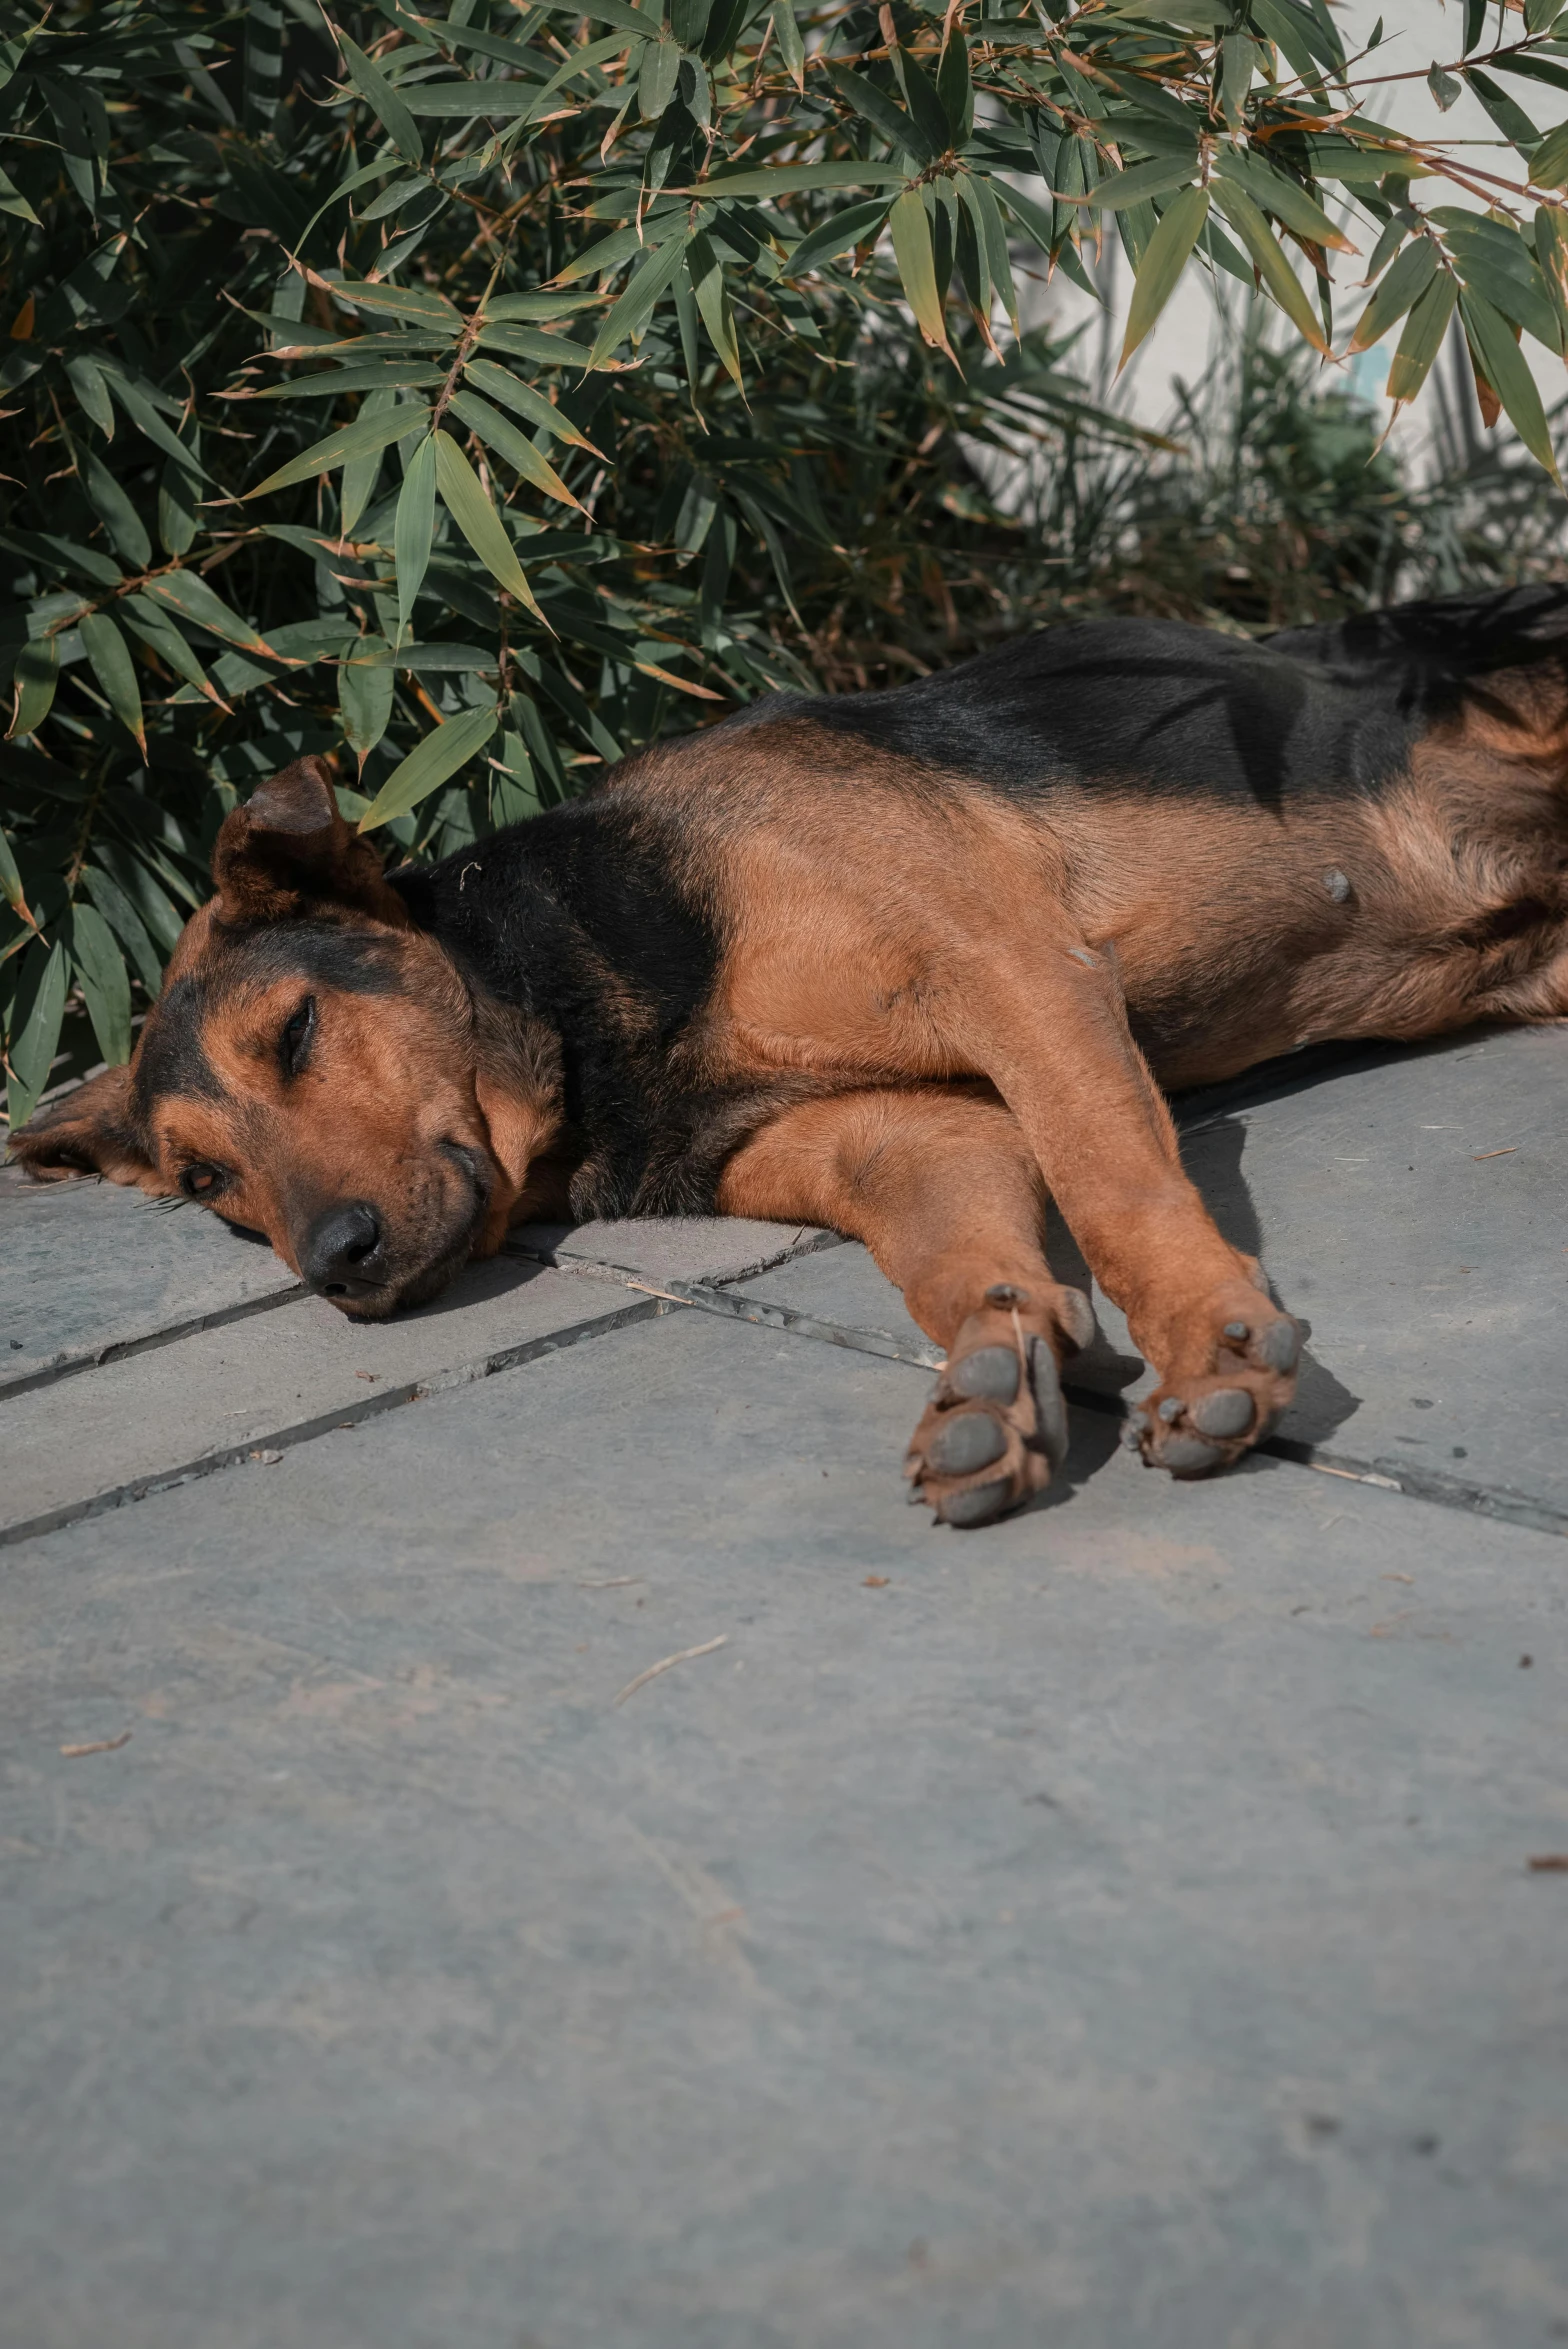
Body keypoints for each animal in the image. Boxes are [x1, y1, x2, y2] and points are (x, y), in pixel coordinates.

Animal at [12, 587, 1568, 1531]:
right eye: (208, 1186)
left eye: (293, 1032)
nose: (333, 1262)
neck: (584, 1001)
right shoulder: (912, 1127)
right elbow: (961, 1253)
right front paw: (991, 1373)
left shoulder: (1017, 974)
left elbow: (1112, 1184)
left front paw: (1210, 1337)